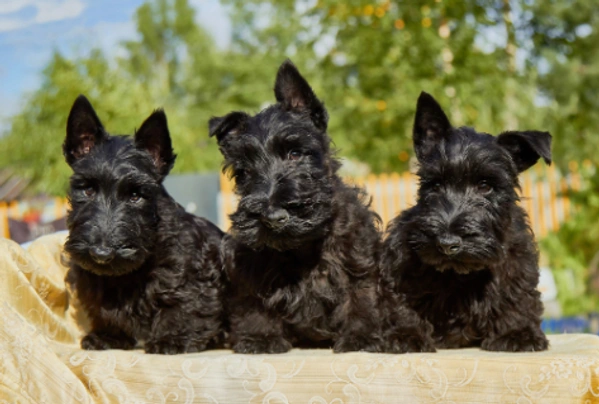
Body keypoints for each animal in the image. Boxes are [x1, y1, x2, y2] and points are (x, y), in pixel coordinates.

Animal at [63, 94, 224, 354]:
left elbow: (182, 304)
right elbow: (105, 309)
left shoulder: (188, 276)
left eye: (136, 195)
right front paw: (108, 336)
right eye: (87, 189)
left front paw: (171, 339)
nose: (101, 254)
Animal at [209, 60, 434, 354]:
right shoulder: (250, 266)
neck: (302, 246)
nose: (272, 217)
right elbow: (254, 303)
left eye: (295, 153)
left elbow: (360, 300)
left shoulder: (357, 263)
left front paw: (360, 337)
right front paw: (260, 338)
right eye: (243, 172)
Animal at [382, 92, 552, 350]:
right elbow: (403, 303)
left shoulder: (516, 262)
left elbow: (516, 294)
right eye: (435, 184)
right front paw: (406, 334)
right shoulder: (401, 266)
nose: (446, 244)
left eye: (485, 186)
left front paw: (517, 333)